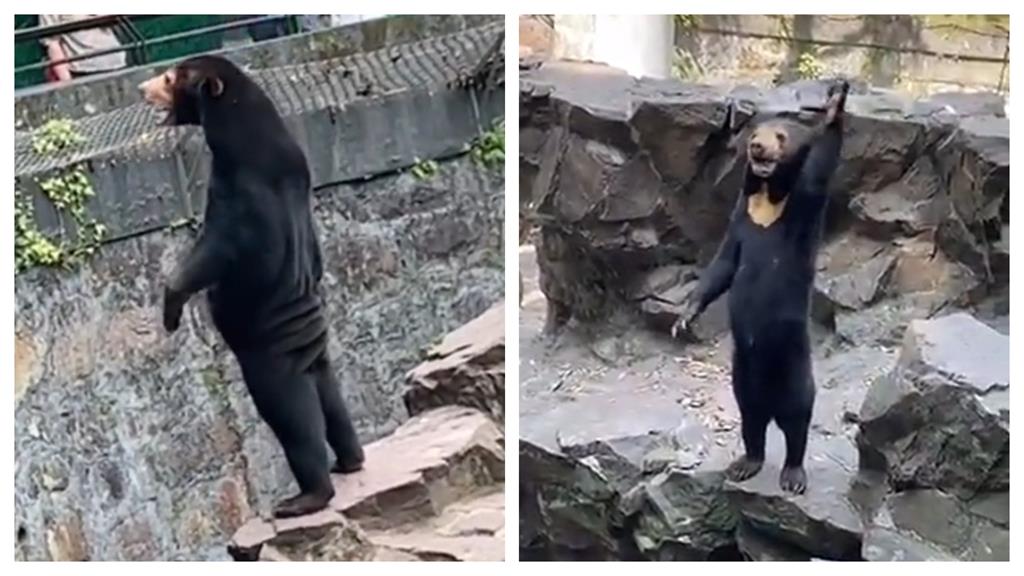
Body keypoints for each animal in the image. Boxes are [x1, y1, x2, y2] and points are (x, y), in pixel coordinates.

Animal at [139, 55, 364, 517]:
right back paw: (350, 460)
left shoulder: (239, 193)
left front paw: (170, 311)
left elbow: (212, 254)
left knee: (293, 419)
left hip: (270, 361)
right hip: (317, 358)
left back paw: (304, 497)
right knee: (333, 401)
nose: (141, 88)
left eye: (170, 78)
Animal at [672, 80, 850, 494]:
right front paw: (684, 318)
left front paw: (836, 103)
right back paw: (745, 463)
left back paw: (793, 474)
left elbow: (821, 166)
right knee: (751, 418)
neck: (768, 199)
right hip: (742, 374)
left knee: (798, 417)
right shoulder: (741, 215)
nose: (757, 147)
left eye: (780, 136)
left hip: (792, 363)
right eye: (755, 134)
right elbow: (723, 265)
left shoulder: (802, 206)